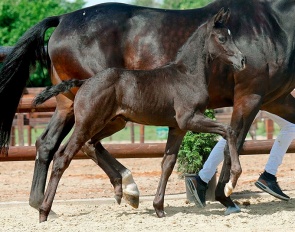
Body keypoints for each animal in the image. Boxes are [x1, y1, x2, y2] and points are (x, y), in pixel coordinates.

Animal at [33, 9, 245, 222]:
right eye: (222, 38)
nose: (242, 60)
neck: (187, 76)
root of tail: (85, 82)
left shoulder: (178, 128)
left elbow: (167, 164)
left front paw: (159, 208)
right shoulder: (189, 119)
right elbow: (229, 131)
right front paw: (231, 183)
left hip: (113, 123)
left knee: (89, 145)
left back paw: (122, 190)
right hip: (87, 123)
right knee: (63, 157)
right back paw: (44, 211)